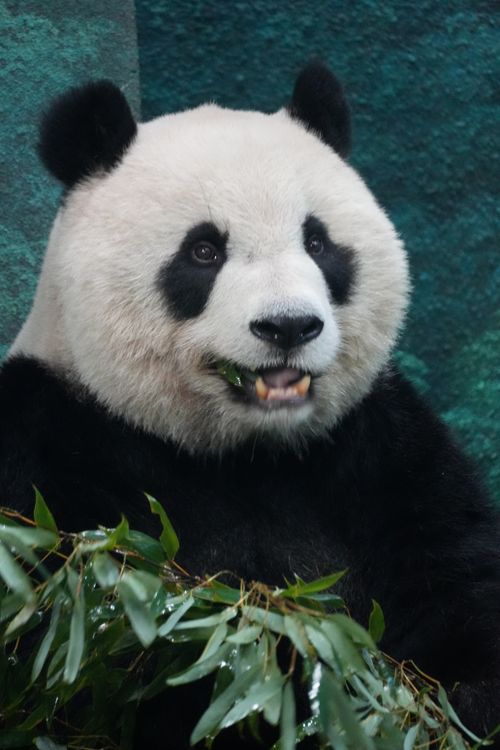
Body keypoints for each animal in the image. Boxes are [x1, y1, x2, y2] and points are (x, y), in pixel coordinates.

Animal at [1, 63, 499, 748]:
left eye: (317, 242)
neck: (246, 450)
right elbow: (127, 654)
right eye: (204, 251)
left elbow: (454, 580)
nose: (288, 326)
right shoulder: (52, 445)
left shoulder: (380, 443)